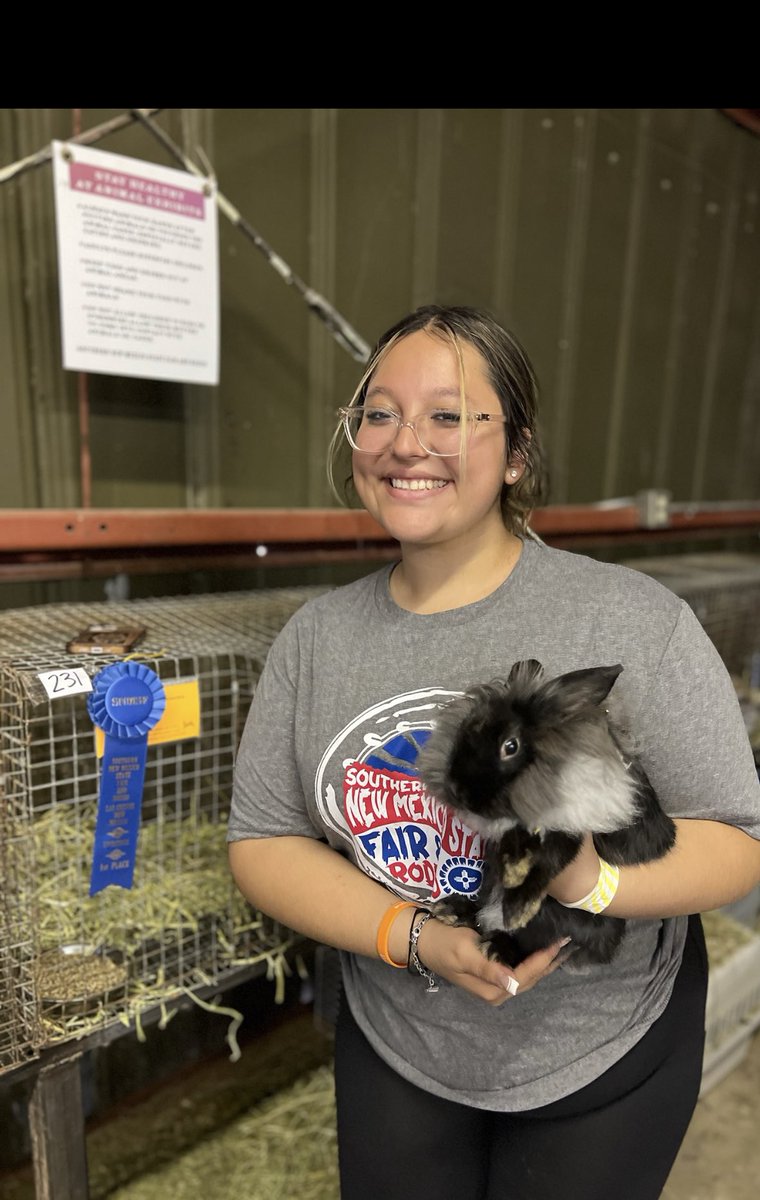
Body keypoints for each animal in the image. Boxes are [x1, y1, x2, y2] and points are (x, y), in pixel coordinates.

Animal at [415, 662, 677, 969]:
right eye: (467, 726)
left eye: (511, 746)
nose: (457, 791)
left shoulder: (576, 827)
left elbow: (552, 858)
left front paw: (518, 903)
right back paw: (452, 909)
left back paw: (497, 947)